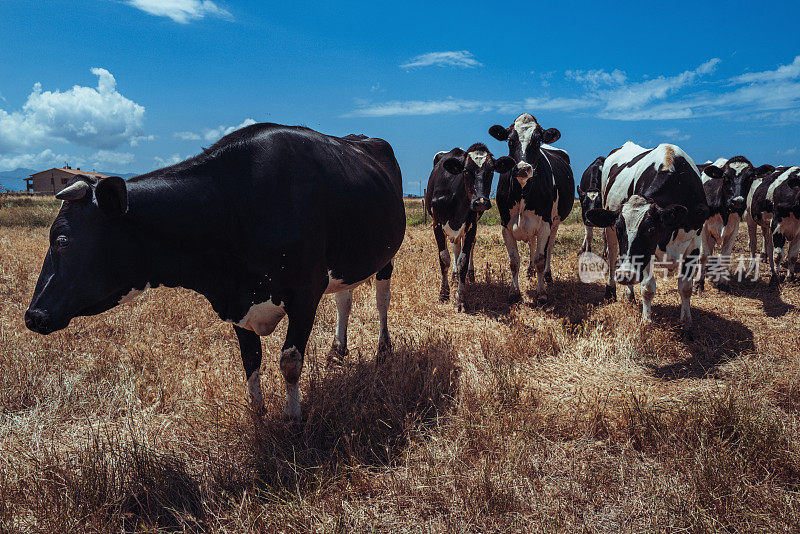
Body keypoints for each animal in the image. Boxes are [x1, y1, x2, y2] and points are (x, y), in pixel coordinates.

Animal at [25, 123, 406, 420]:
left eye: (61, 240)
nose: (33, 315)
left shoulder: (305, 291)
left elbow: (290, 360)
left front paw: (292, 417)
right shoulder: (238, 301)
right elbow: (250, 360)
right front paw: (258, 415)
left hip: (386, 256)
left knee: (381, 299)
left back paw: (383, 349)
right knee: (345, 298)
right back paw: (337, 350)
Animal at [424, 144, 512, 308]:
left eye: (491, 170)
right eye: (466, 171)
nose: (480, 202)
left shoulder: (471, 225)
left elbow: (463, 259)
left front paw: (460, 297)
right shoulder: (436, 224)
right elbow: (444, 258)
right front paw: (444, 293)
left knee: (468, 247)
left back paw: (468, 275)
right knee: (455, 247)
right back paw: (454, 275)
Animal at [488, 113, 576, 302]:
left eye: (537, 141)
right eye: (510, 140)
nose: (522, 169)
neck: (522, 192)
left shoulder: (544, 224)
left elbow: (541, 260)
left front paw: (541, 293)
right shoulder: (505, 225)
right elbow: (514, 261)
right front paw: (514, 292)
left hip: (555, 222)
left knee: (548, 247)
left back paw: (547, 275)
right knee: (532, 244)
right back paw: (530, 270)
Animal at [580, 142, 708, 326]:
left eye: (650, 229)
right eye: (619, 228)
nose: (625, 275)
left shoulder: (693, 244)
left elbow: (685, 288)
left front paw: (686, 321)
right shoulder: (647, 252)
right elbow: (647, 288)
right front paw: (646, 321)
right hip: (610, 233)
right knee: (612, 257)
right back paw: (613, 290)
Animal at [692, 157, 776, 296]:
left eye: (750, 177)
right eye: (725, 177)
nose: (737, 201)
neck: (723, 211)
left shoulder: (733, 228)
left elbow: (725, 256)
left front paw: (723, 283)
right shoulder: (704, 228)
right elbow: (703, 255)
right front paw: (698, 284)